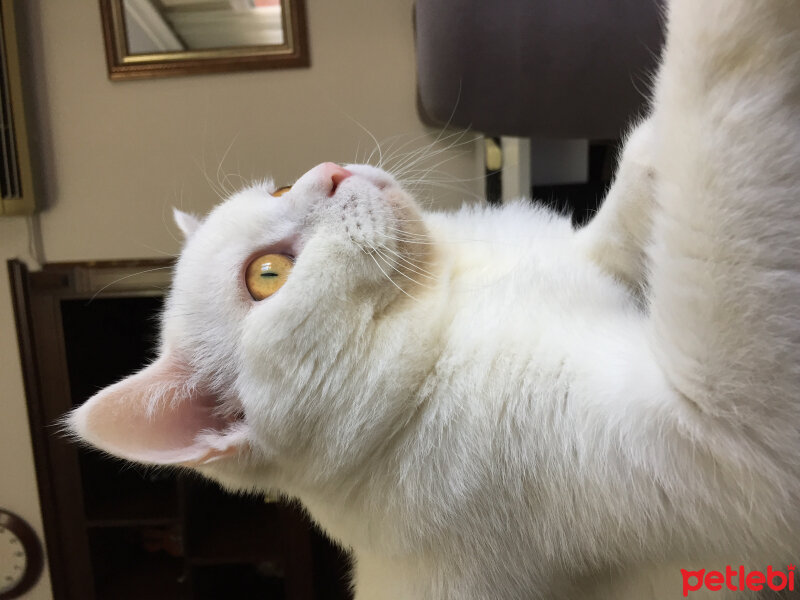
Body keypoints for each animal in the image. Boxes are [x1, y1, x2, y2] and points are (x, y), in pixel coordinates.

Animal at [67, 0, 800, 596]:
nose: (330, 172)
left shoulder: (590, 255)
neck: (449, 296)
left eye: (276, 188)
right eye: (267, 275)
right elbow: (714, 108)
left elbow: (638, 180)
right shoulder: (718, 436)